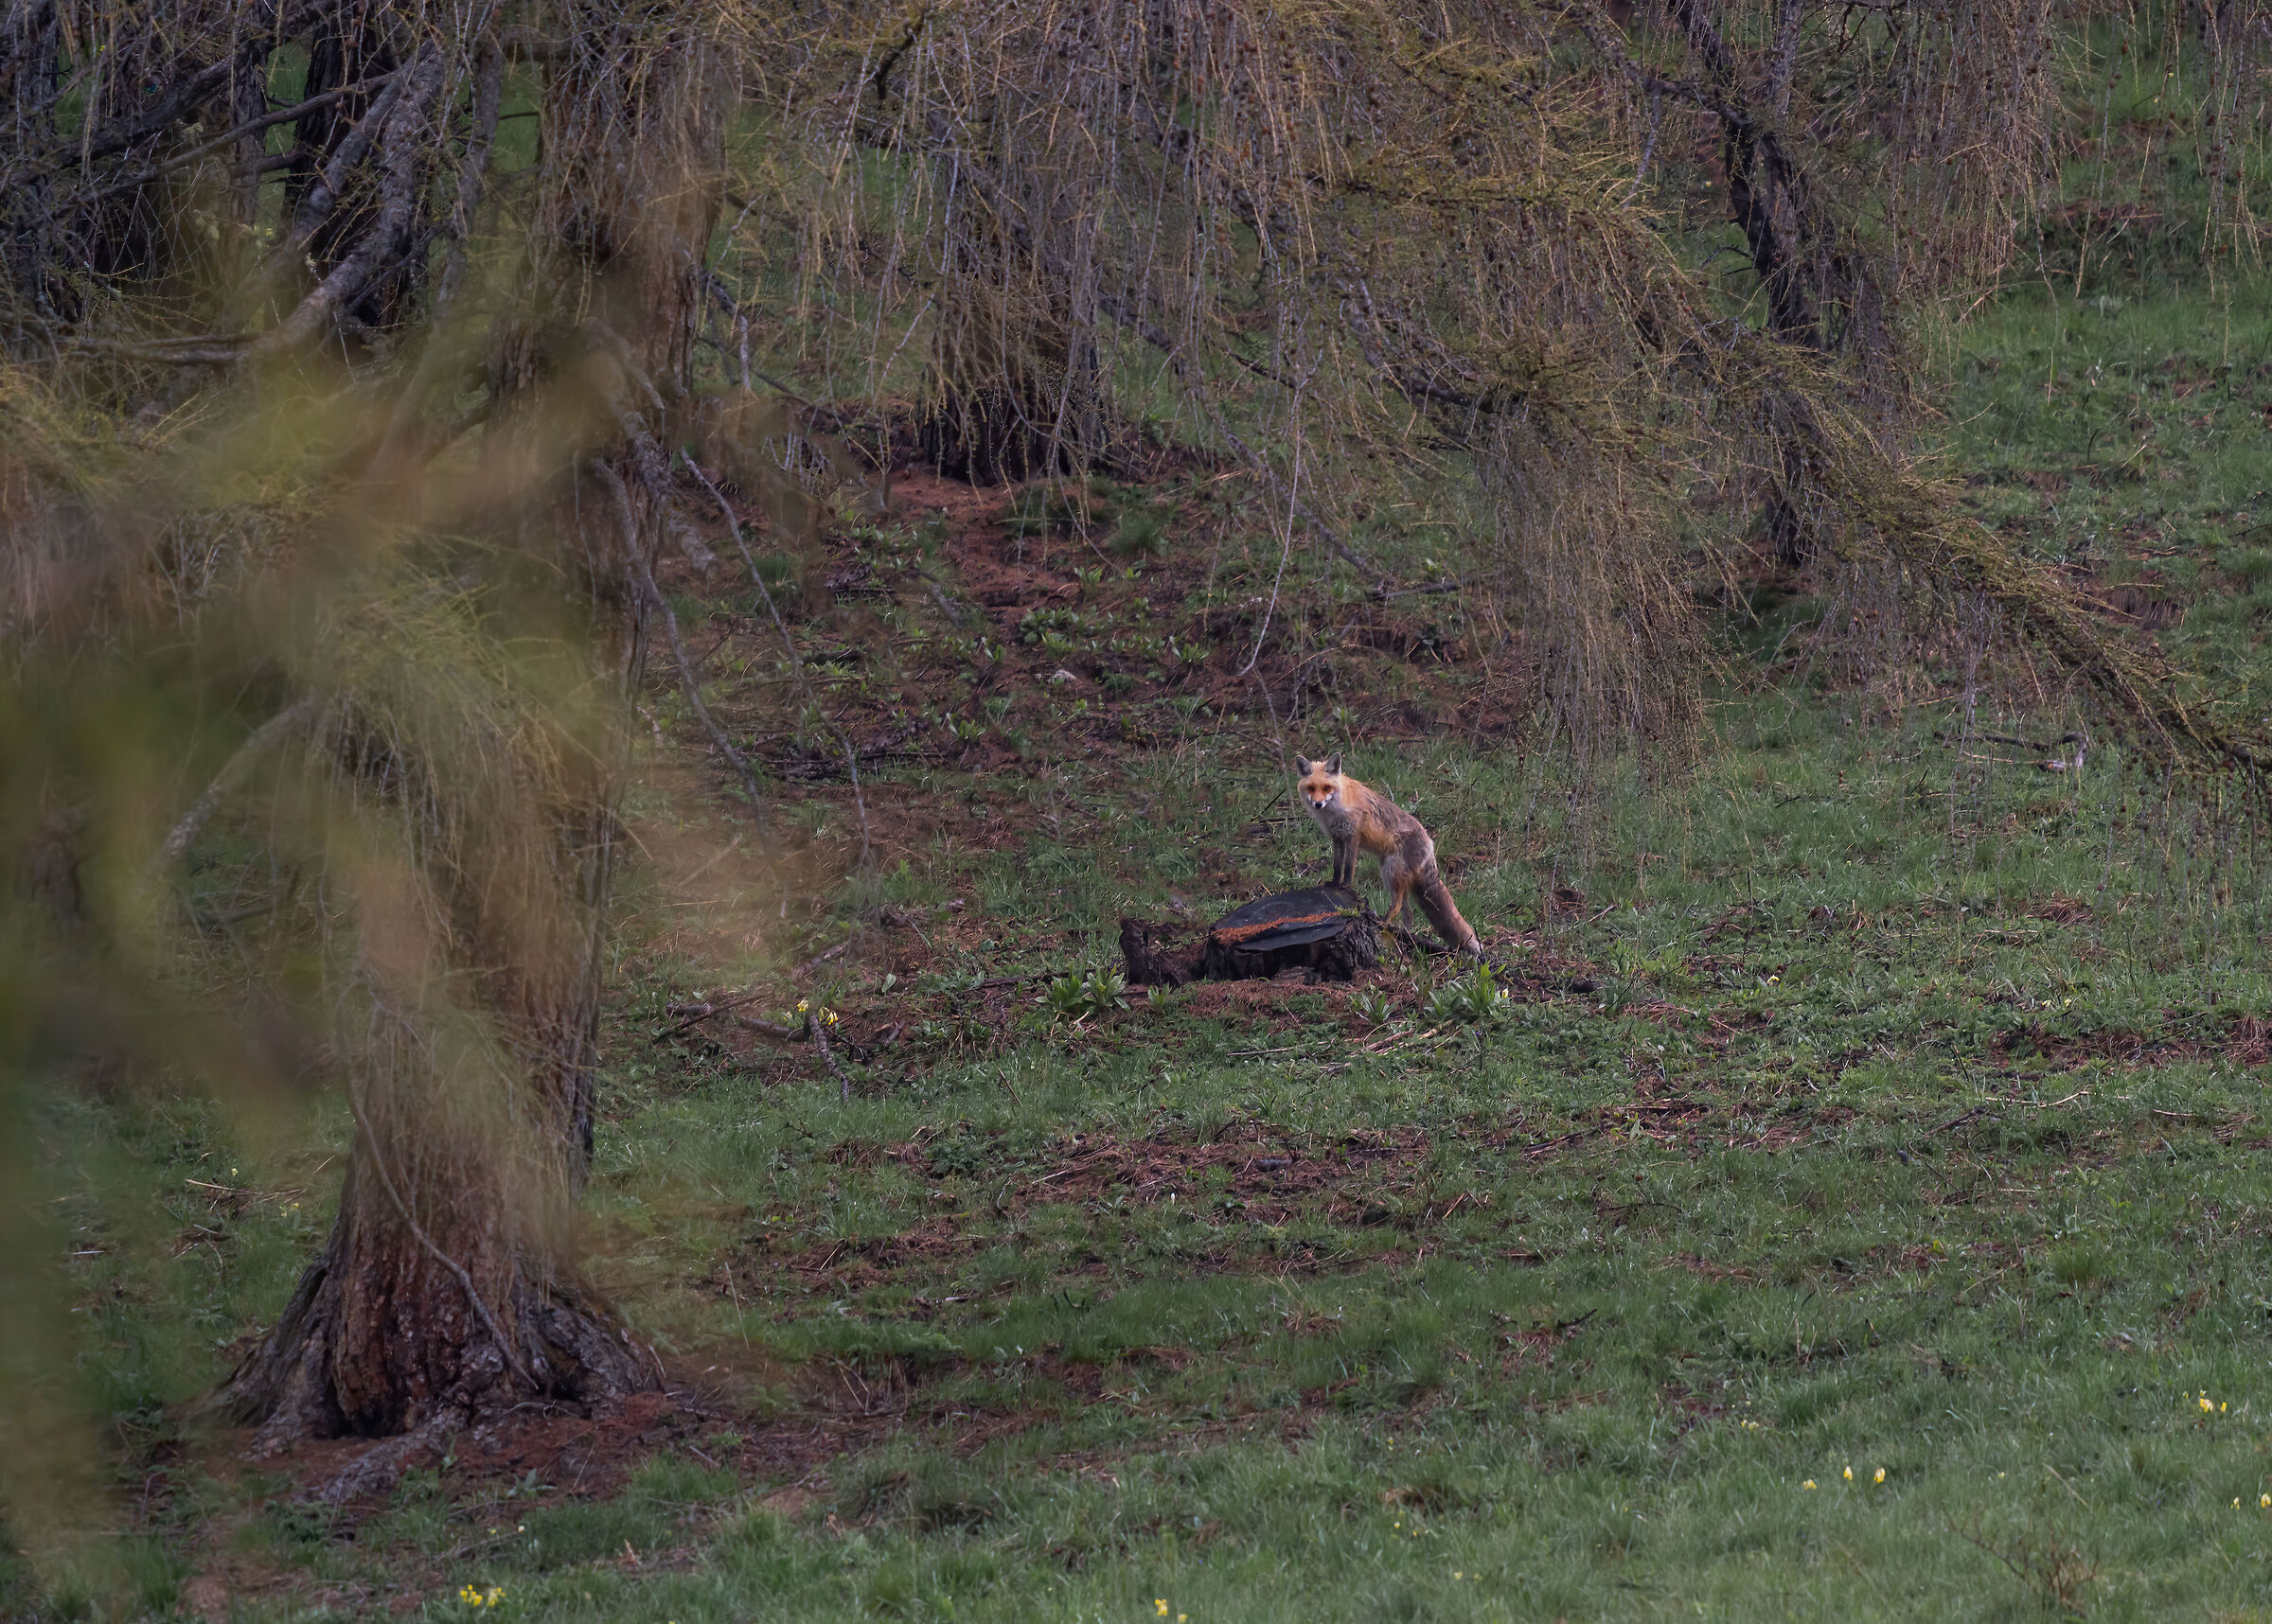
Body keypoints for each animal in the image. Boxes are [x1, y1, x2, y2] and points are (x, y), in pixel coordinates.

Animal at [1293, 753, 1482, 958]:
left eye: (1327, 787)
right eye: (1311, 788)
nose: (1318, 804)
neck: (1334, 809)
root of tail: (1430, 845)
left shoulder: (1353, 837)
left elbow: (1349, 867)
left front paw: (1346, 887)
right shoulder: (1337, 837)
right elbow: (1337, 865)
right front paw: (1334, 884)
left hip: (1390, 873)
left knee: (1397, 906)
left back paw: (1383, 922)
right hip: (1392, 876)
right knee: (1409, 913)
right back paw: (1406, 936)